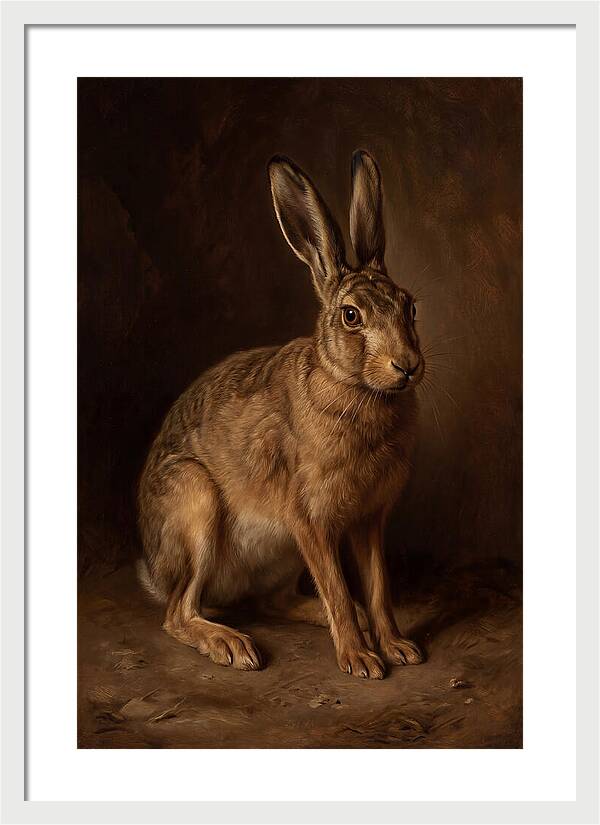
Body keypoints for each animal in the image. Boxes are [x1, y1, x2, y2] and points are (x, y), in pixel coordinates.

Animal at [137, 150, 425, 679]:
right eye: (351, 316)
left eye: (410, 307)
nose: (407, 365)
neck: (355, 387)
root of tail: (155, 568)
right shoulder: (308, 518)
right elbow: (337, 586)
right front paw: (361, 660)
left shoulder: (368, 520)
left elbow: (378, 589)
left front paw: (396, 647)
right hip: (195, 503)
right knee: (178, 612)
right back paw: (231, 645)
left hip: (281, 556)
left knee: (274, 602)